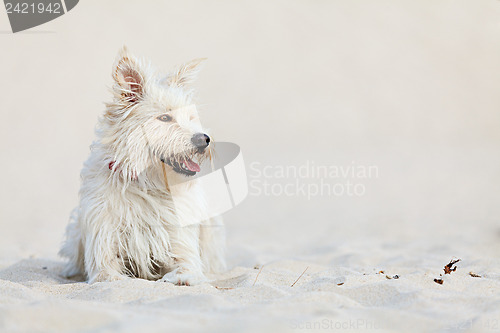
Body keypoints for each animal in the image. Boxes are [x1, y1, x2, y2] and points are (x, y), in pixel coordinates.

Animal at [58, 46, 225, 284]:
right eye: (164, 118)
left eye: (191, 117)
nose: (204, 139)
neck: (149, 185)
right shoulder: (103, 250)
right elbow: (109, 275)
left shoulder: (182, 246)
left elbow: (187, 267)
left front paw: (182, 278)